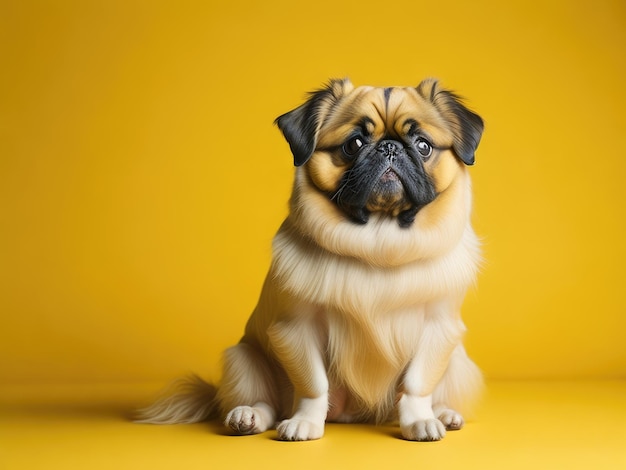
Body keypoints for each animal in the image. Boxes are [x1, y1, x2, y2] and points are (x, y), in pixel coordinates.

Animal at [139, 77, 486, 440]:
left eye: (423, 146)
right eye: (354, 144)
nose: (389, 147)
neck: (379, 238)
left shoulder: (439, 328)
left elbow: (417, 384)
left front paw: (419, 420)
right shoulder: (296, 329)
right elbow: (313, 384)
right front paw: (304, 422)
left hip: (458, 360)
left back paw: (445, 414)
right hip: (244, 358)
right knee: (268, 402)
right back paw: (249, 416)